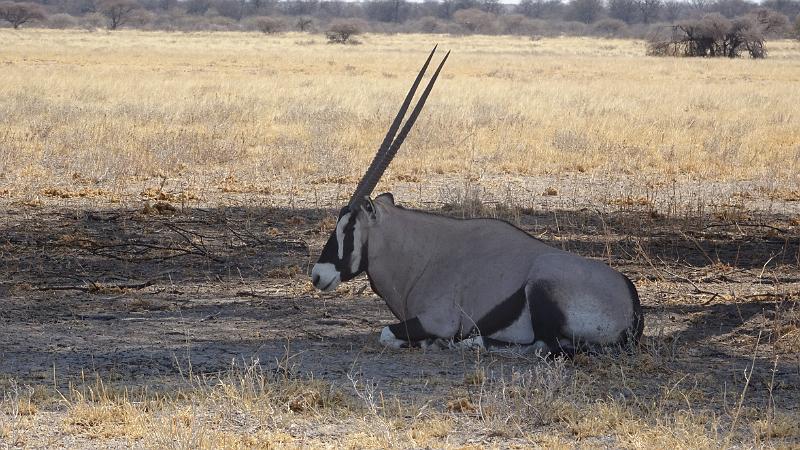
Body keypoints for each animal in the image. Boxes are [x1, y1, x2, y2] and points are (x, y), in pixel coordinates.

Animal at [310, 48, 640, 356]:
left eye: (348, 228)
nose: (317, 275)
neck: (419, 252)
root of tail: (632, 309)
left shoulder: (437, 319)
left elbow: (386, 333)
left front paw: (434, 342)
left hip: (541, 290)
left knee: (544, 346)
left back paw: (469, 343)